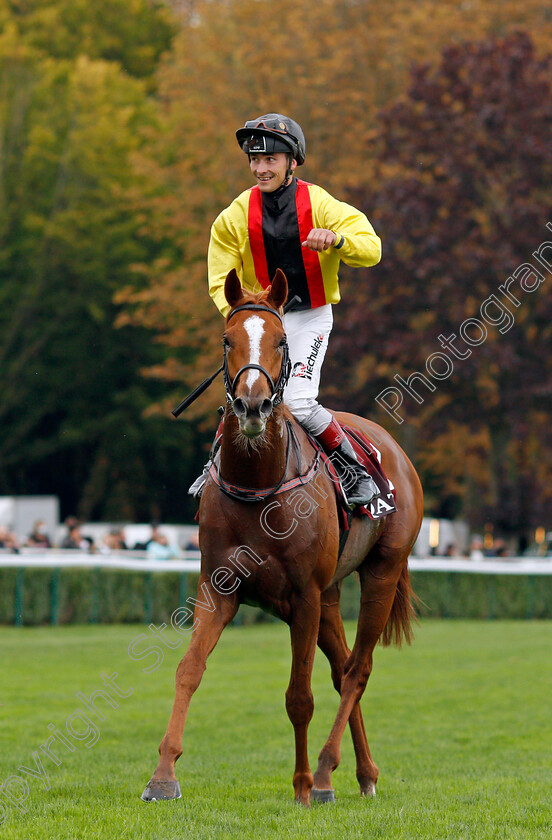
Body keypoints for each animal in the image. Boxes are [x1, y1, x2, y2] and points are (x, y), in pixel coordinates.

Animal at [142, 270, 422, 808]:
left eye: (279, 341)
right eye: (227, 340)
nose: (251, 405)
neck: (258, 486)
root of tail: (393, 447)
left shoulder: (304, 597)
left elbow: (299, 696)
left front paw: (302, 785)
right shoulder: (218, 588)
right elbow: (189, 670)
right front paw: (163, 776)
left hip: (381, 571)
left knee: (357, 670)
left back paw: (328, 771)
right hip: (332, 594)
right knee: (343, 669)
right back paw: (364, 773)